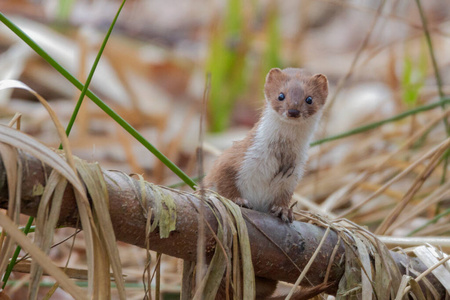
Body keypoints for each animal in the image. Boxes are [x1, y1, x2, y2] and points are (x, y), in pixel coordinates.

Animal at [204, 68, 326, 223]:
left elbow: (285, 196)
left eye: (309, 99)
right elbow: (222, 180)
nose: (293, 111)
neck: (281, 154)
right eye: (281, 95)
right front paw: (238, 200)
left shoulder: (293, 176)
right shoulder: (236, 157)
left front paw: (283, 210)